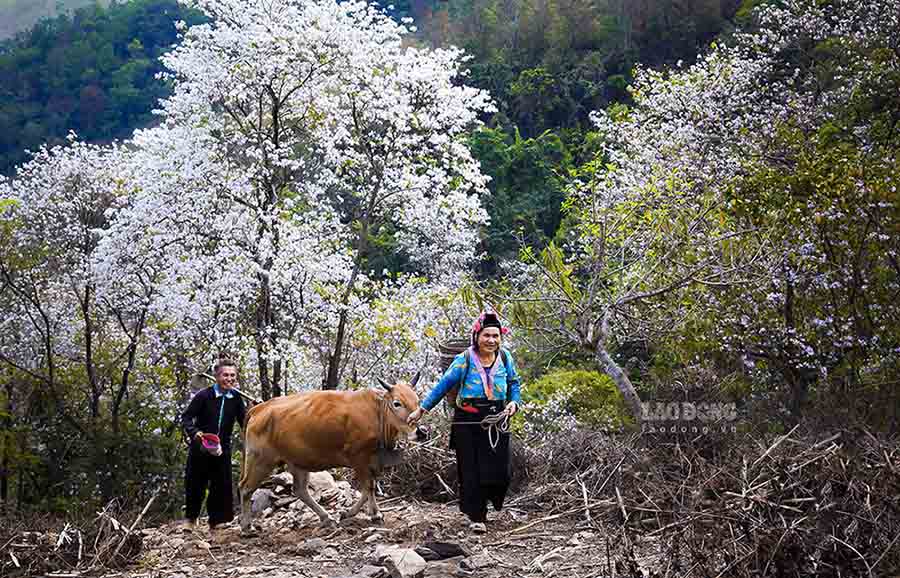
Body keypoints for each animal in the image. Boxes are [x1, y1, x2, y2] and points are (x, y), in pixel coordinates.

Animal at [239, 376, 422, 532]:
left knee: (300, 490)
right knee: (245, 487)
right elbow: (368, 486)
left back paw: (326, 518)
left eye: (418, 401)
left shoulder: (373, 460)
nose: (421, 432)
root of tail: (259, 408)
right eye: (397, 403)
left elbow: (369, 487)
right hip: (261, 460)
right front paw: (366, 513)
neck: (377, 412)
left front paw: (362, 513)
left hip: (297, 462)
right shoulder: (358, 457)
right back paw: (247, 526)